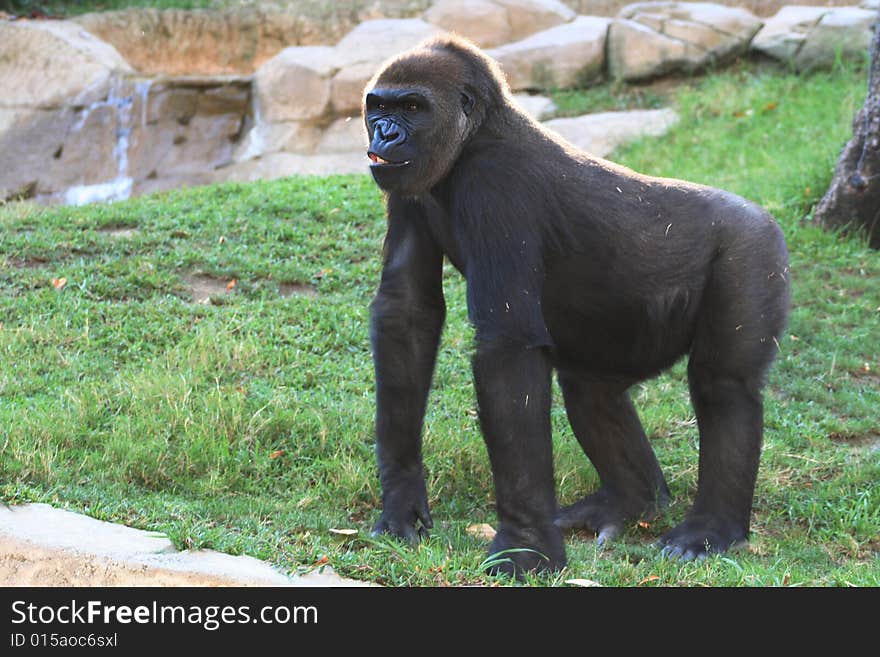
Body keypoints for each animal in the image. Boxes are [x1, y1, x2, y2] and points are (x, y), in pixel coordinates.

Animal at [362, 36, 792, 576]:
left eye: (412, 108)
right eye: (378, 107)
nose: (385, 134)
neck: (475, 136)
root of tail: (764, 217)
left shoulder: (497, 184)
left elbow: (507, 349)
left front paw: (525, 545)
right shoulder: (407, 188)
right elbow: (407, 313)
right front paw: (401, 497)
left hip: (754, 249)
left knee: (723, 387)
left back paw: (713, 527)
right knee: (592, 389)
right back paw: (634, 499)